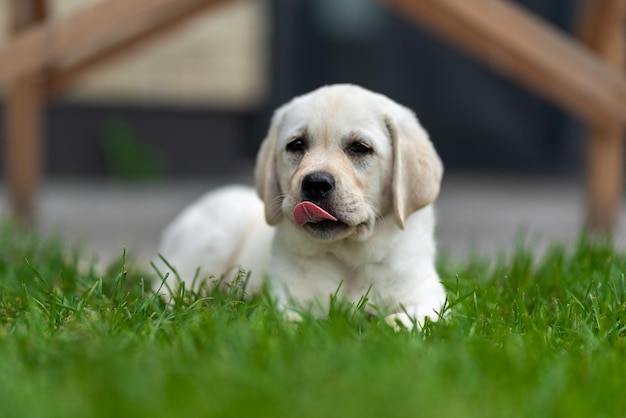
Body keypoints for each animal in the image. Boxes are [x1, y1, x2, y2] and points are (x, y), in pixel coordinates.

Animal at [158, 83, 446, 328]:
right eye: (296, 145)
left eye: (360, 148)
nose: (316, 184)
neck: (348, 257)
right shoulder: (286, 296)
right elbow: (291, 321)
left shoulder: (427, 294)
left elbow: (411, 318)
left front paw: (389, 326)